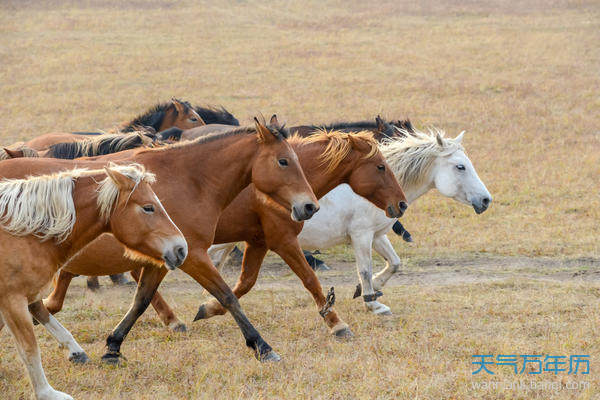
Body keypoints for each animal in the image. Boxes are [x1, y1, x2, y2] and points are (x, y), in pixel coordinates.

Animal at [0, 162, 186, 400]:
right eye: (148, 207)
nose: (181, 249)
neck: (23, 233)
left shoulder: (26, 296)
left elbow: (50, 320)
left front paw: (77, 353)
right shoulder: (13, 299)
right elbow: (30, 348)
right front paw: (47, 393)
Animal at [38, 115, 318, 362]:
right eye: (283, 161)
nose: (309, 206)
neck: (192, 181)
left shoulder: (163, 260)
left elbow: (141, 301)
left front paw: (113, 347)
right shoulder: (193, 256)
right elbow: (228, 296)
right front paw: (262, 346)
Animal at [209, 128, 490, 316]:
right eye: (461, 167)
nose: (486, 200)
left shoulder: (377, 236)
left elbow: (394, 264)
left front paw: (370, 290)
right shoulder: (361, 235)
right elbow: (364, 268)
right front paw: (372, 302)